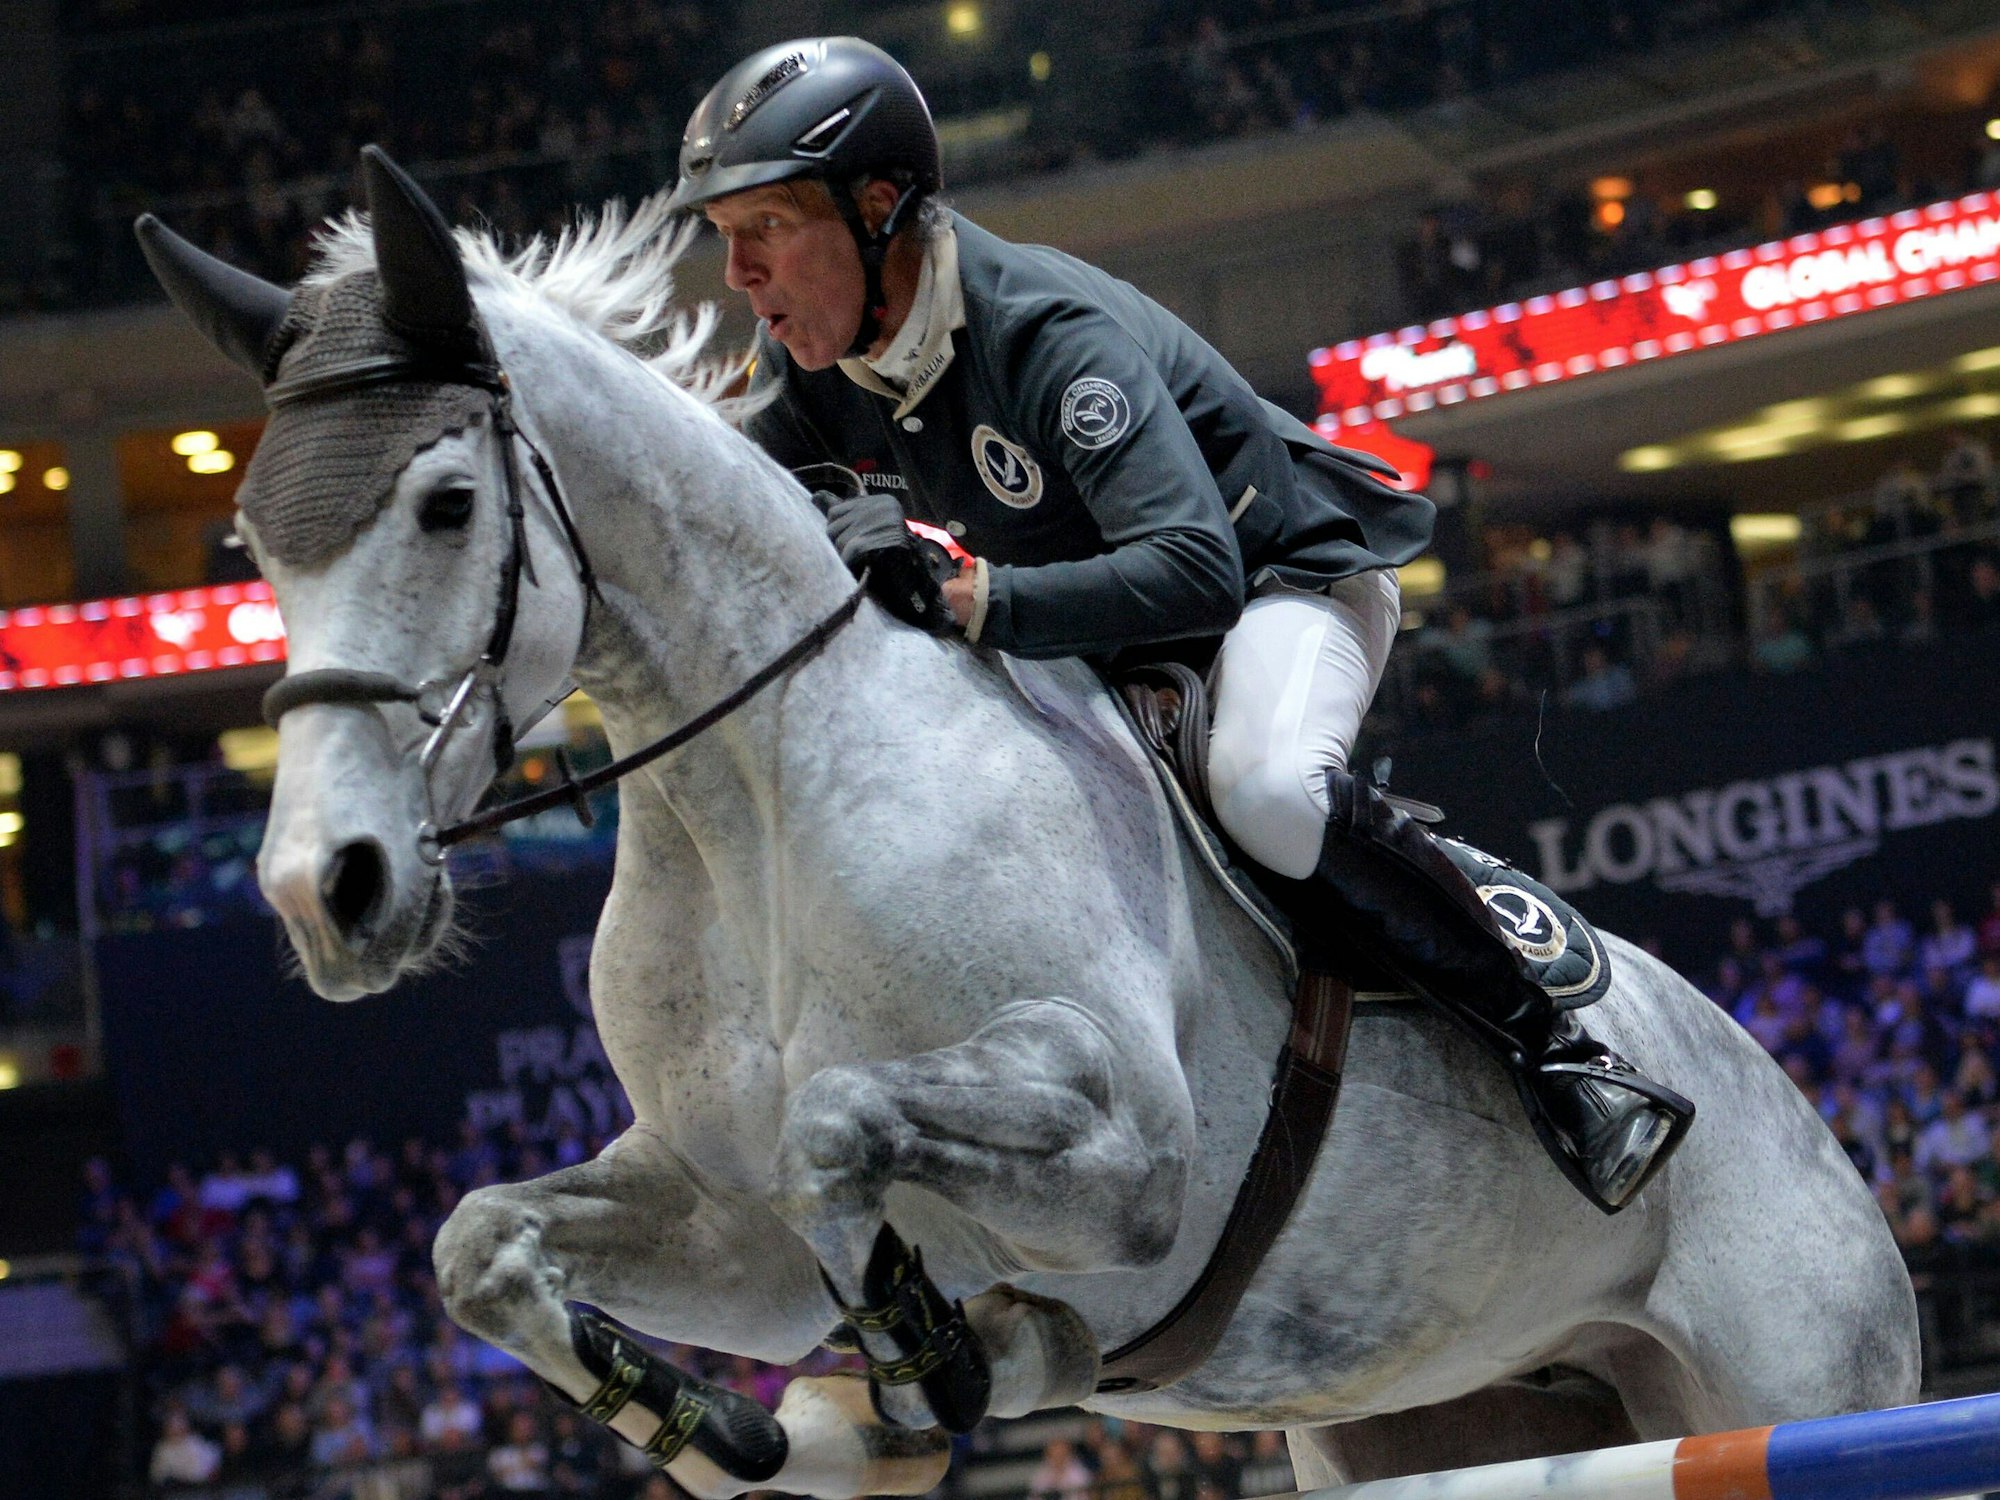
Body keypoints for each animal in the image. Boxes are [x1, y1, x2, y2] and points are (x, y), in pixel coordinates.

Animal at [137, 150, 1919, 1500]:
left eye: (446, 505)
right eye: (253, 543)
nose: (325, 891)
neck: (764, 798)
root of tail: (1808, 1115)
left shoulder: (1127, 1145)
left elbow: (840, 1125)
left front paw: (954, 1364)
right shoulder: (728, 1233)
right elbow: (480, 1243)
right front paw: (730, 1431)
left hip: (1793, 1374)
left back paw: (1592, 1100)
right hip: (1438, 1422)